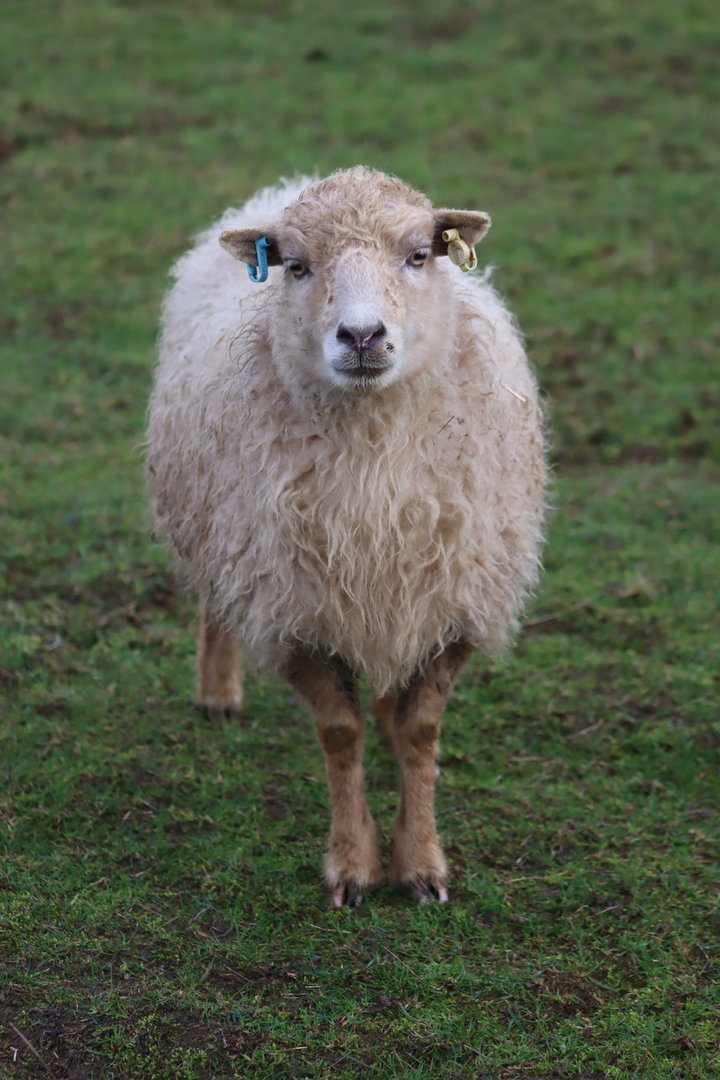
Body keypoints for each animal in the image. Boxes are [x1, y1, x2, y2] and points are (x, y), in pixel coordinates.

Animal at [145, 167, 546, 907]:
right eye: (296, 265)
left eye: (419, 255)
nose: (362, 336)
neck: (374, 469)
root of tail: (286, 182)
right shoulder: (296, 608)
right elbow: (337, 734)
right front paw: (354, 864)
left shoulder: (454, 599)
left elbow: (421, 729)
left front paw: (421, 863)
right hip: (218, 522)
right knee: (217, 596)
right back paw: (218, 691)